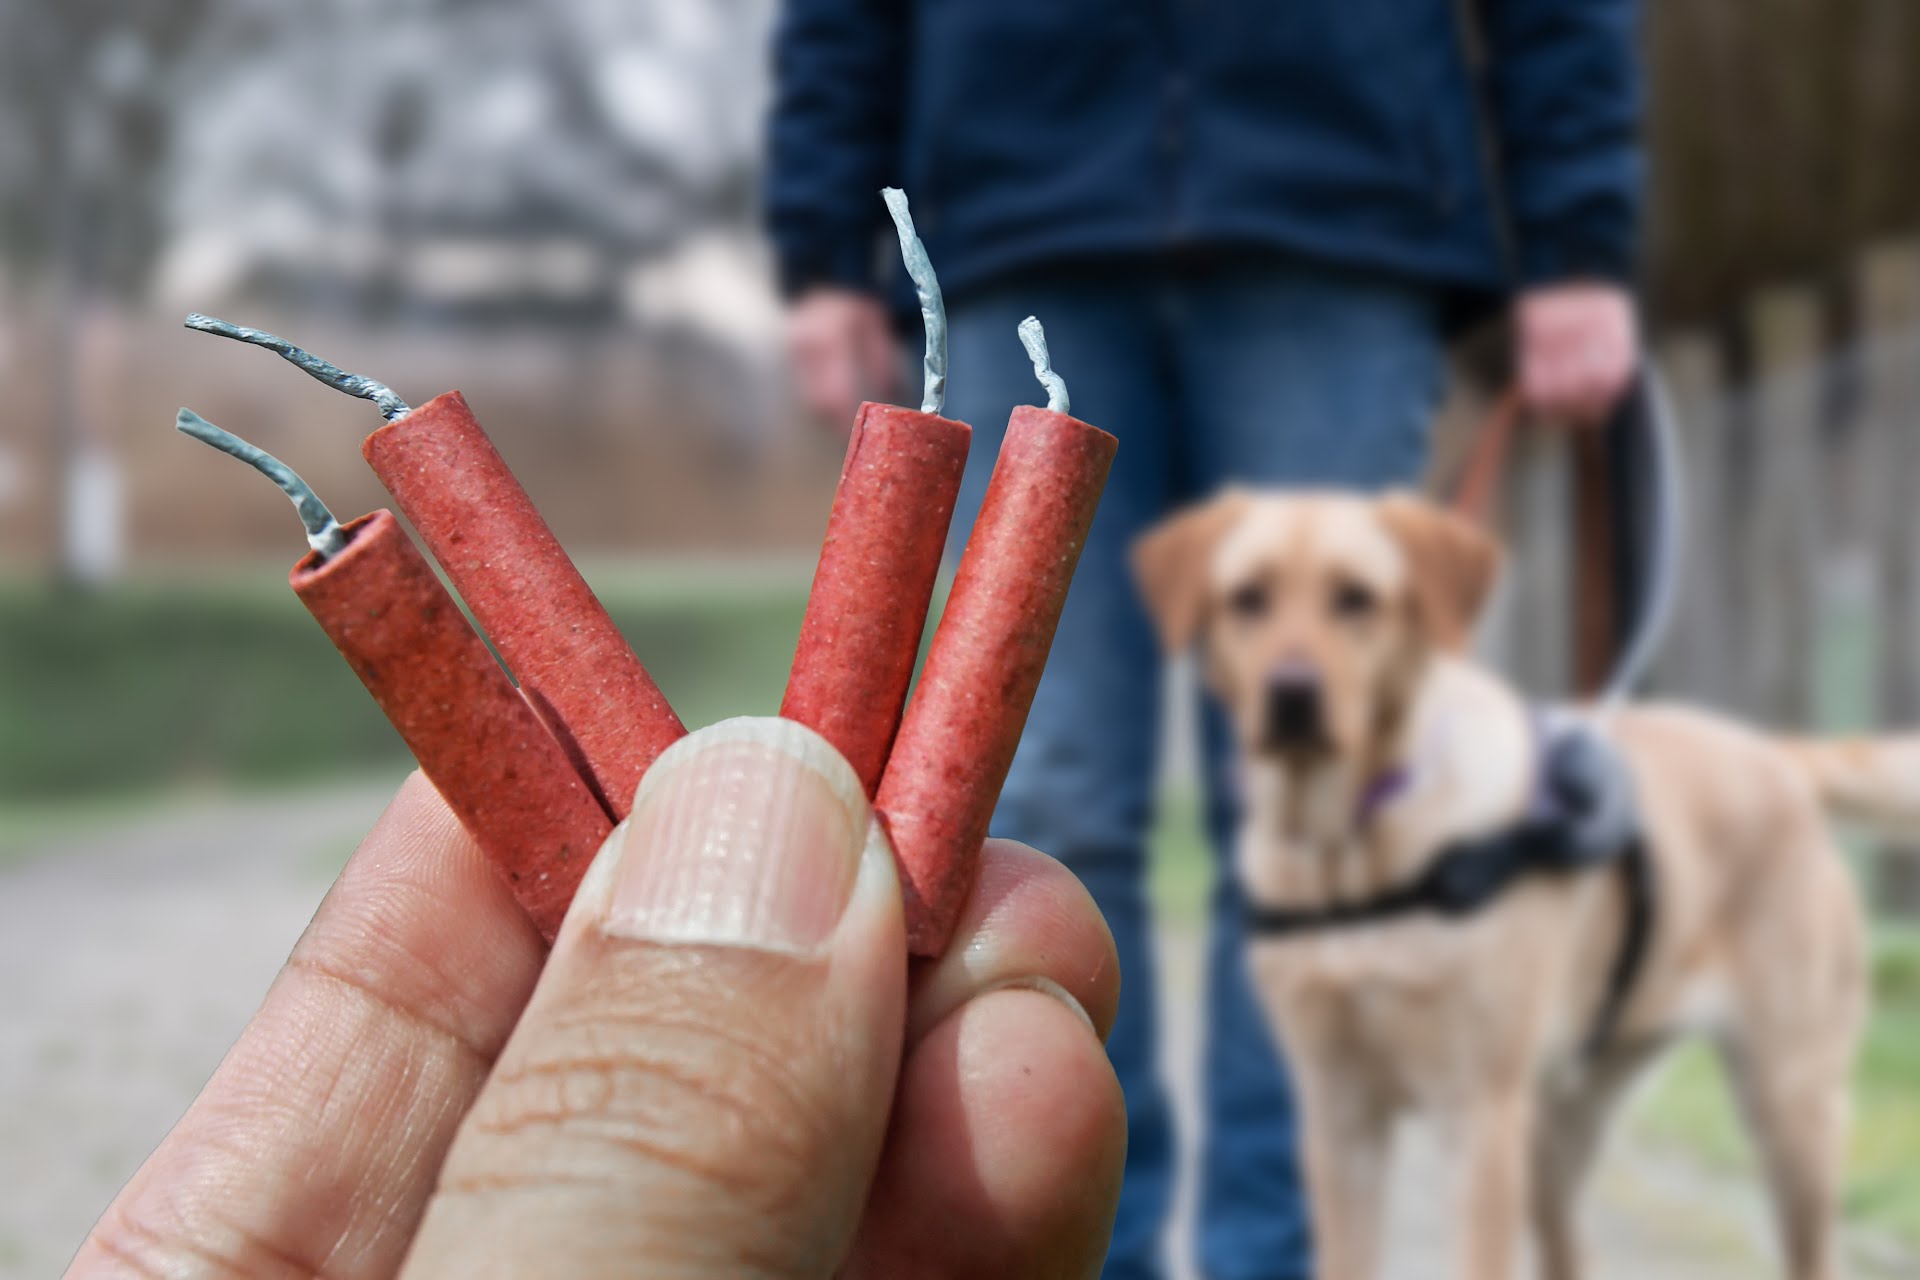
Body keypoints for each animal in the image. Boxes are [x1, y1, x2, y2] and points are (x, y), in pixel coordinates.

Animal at [1136, 485, 1904, 1274]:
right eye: (1247, 599)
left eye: (1357, 599)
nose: (1292, 696)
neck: (1351, 844)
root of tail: (1775, 754)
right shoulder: (1340, 1119)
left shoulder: (1476, 1117)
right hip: (1556, 1128)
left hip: (1790, 1108)